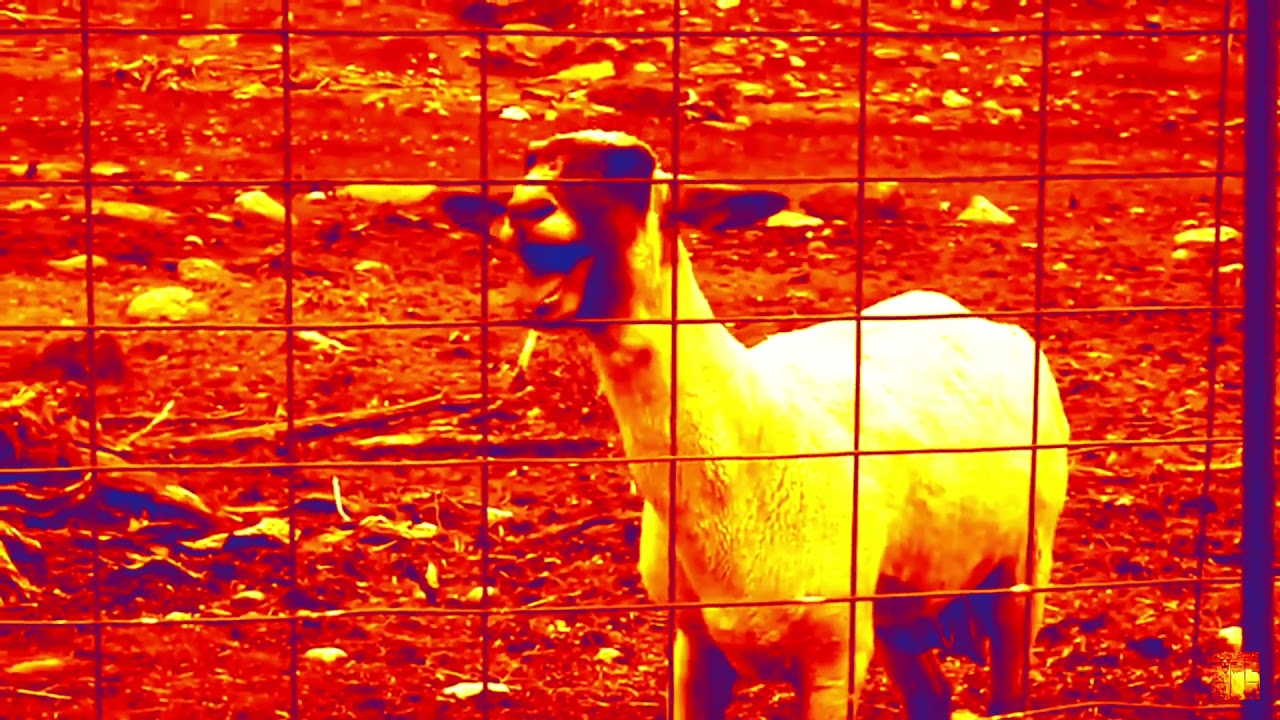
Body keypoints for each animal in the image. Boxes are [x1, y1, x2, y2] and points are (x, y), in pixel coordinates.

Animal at [441, 129, 1070, 720]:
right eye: (528, 165)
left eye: (627, 176)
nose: (524, 209)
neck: (743, 449)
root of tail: (969, 315)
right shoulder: (694, 646)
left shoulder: (834, 656)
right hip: (899, 601)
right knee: (931, 697)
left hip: (1024, 566)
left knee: (1010, 689)